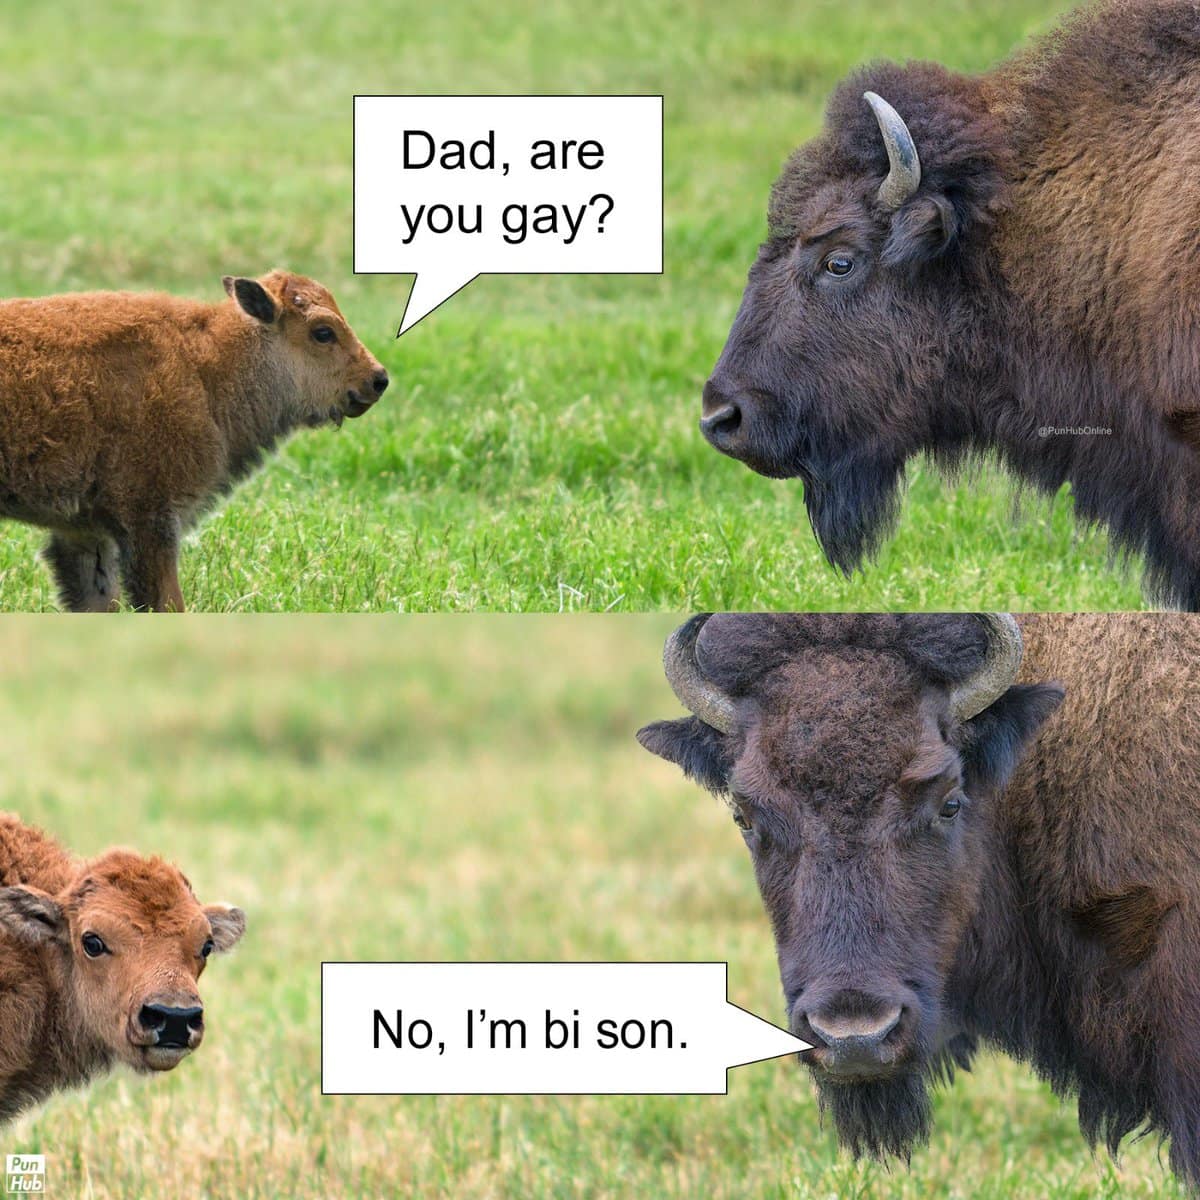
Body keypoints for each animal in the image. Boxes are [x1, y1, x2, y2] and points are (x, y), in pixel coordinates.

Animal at [0, 269, 388, 611]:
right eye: (323, 332)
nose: (378, 379)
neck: (207, 367)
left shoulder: (85, 533)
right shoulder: (150, 519)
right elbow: (166, 602)